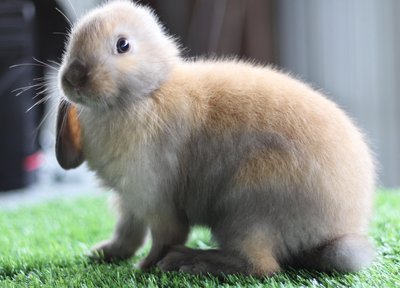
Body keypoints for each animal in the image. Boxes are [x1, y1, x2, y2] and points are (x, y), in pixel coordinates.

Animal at [55, 0, 376, 276]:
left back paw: (190, 262)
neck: (147, 93)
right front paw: (105, 253)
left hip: (246, 209)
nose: (72, 77)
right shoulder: (129, 200)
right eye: (71, 40)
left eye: (123, 45)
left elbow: (165, 236)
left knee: (261, 266)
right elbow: (128, 232)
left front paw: (146, 266)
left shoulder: (154, 196)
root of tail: (335, 232)